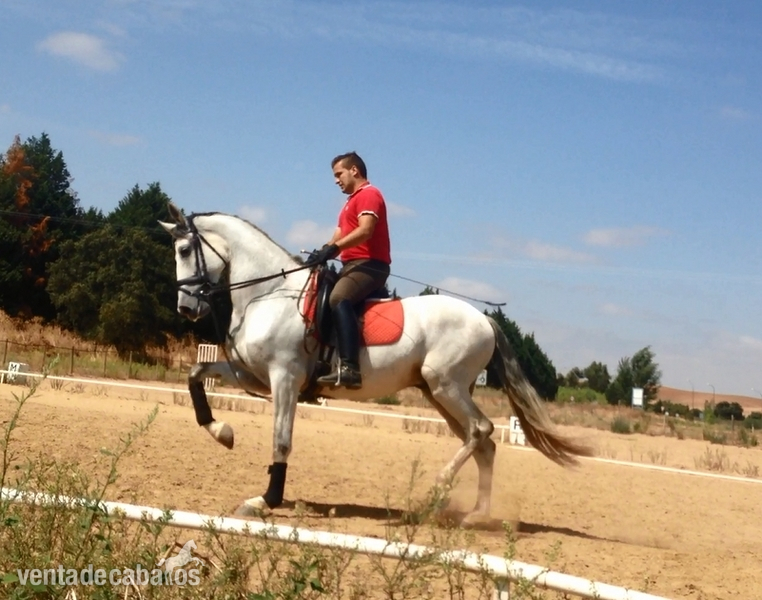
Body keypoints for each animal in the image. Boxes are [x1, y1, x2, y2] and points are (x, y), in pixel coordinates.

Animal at [159, 202, 592, 521]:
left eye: (185, 251)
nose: (187, 309)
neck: (267, 294)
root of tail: (484, 318)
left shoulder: (284, 379)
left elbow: (281, 439)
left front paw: (266, 500)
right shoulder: (252, 374)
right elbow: (196, 375)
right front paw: (222, 431)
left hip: (445, 385)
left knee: (480, 430)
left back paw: (437, 489)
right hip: (439, 393)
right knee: (483, 442)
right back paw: (476, 515)